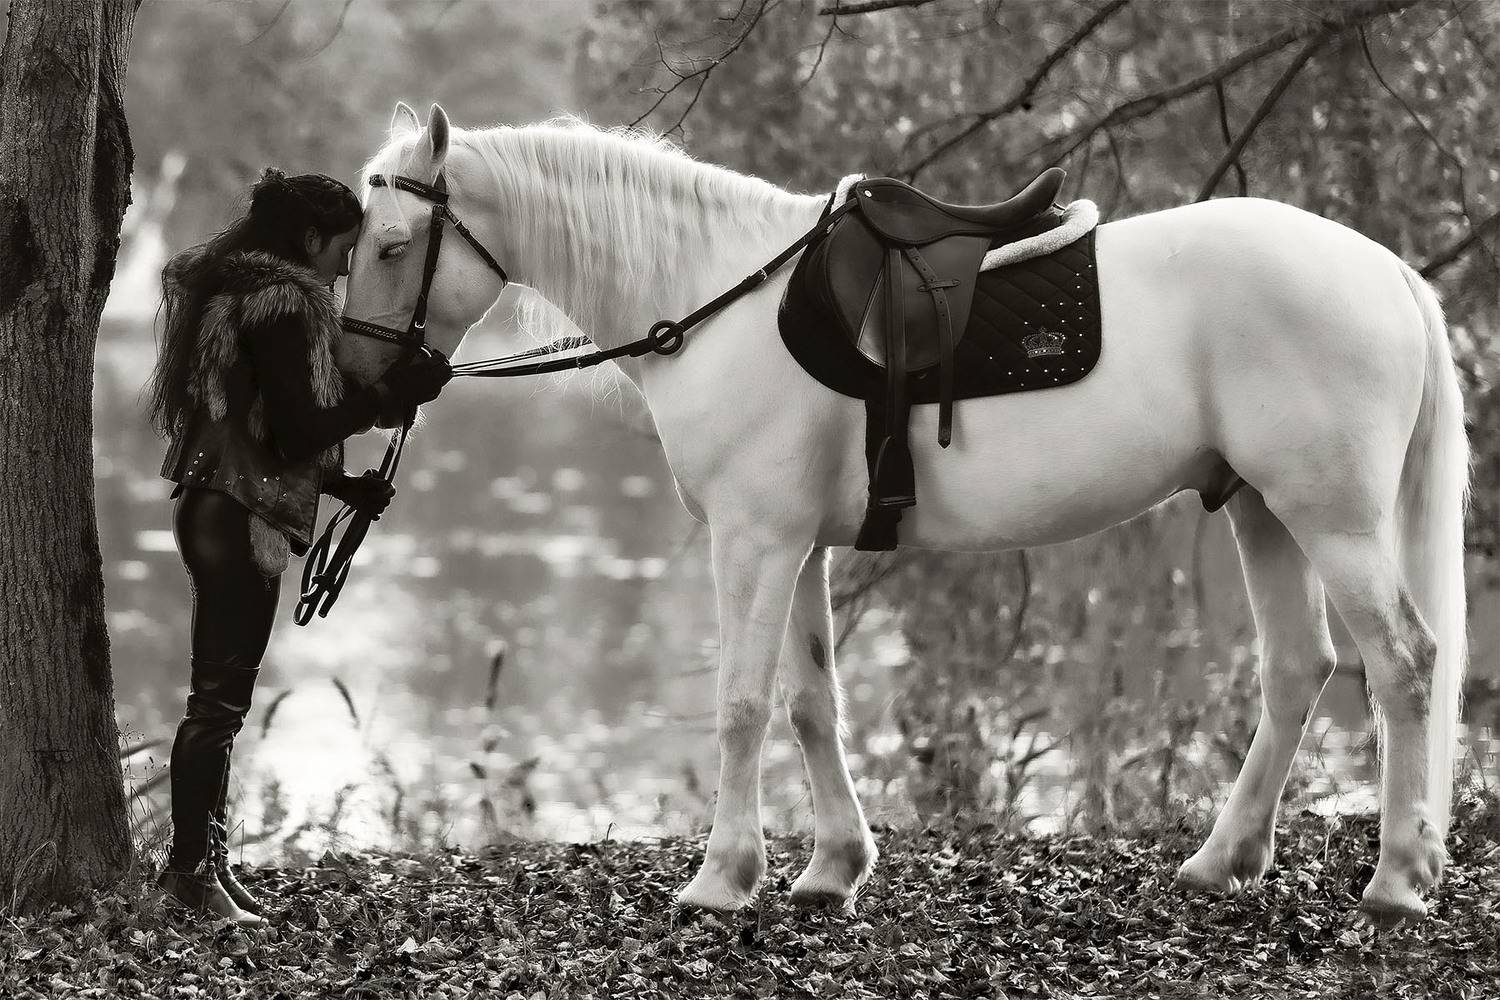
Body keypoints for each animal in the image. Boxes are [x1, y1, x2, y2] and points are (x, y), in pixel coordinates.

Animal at [336, 102, 1469, 923]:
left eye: (391, 246)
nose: (360, 382)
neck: (719, 297)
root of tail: (1387, 270)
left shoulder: (755, 542)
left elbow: (742, 706)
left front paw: (721, 877)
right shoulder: (801, 550)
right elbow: (810, 703)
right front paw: (832, 867)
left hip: (1331, 521)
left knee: (1405, 666)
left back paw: (1397, 880)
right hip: (1265, 511)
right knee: (1299, 671)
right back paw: (1222, 859)